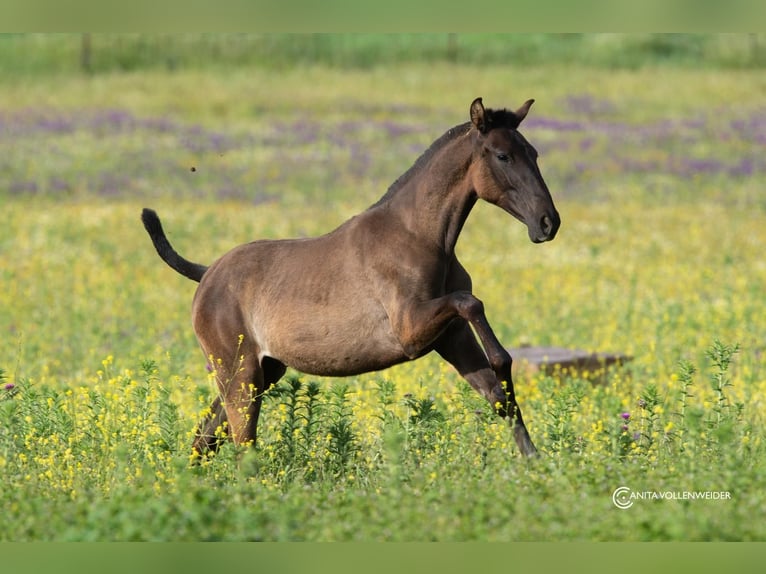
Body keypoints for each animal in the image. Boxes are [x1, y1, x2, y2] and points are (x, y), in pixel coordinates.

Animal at [141, 97, 560, 459]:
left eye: (535, 153)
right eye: (503, 155)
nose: (548, 223)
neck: (421, 236)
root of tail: (206, 273)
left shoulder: (449, 336)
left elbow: (497, 396)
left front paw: (535, 461)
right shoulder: (410, 330)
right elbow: (471, 303)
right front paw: (506, 364)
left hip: (265, 370)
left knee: (205, 437)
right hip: (239, 373)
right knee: (241, 442)